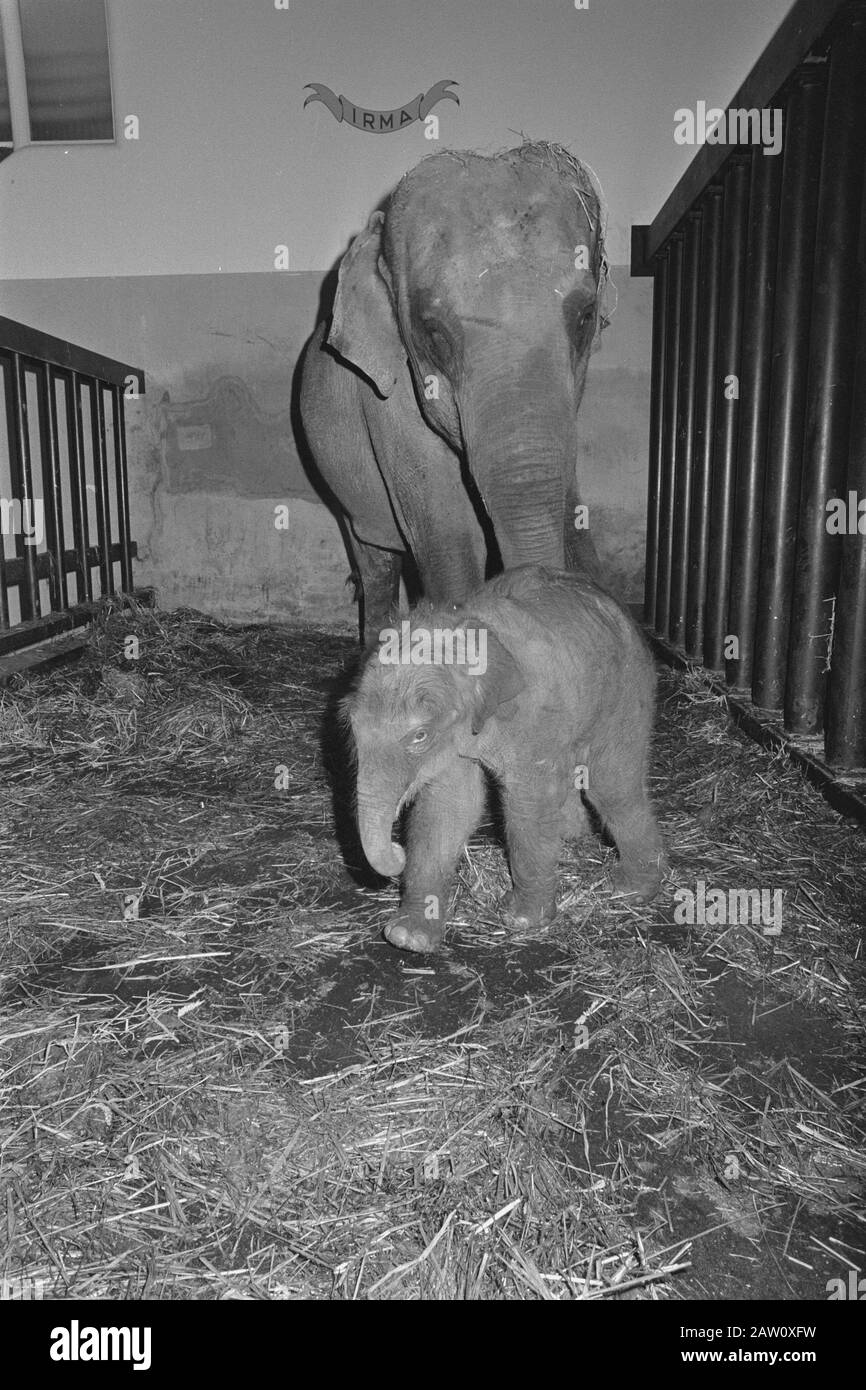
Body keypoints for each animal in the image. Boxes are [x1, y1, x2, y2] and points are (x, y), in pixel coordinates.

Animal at [346, 564, 664, 956]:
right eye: (351, 727)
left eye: (419, 736)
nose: (396, 849)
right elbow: (450, 805)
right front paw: (409, 937)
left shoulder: (532, 713)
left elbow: (526, 802)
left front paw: (522, 920)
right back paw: (572, 842)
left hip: (628, 690)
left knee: (612, 786)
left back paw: (631, 889)